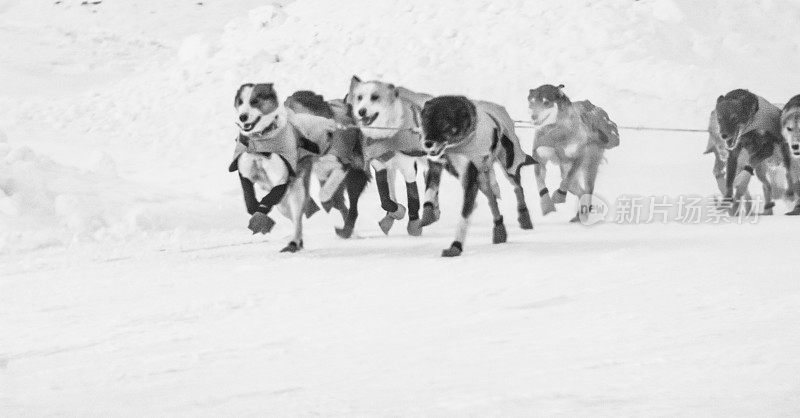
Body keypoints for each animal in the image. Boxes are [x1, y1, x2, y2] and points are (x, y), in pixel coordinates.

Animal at [228, 81, 338, 251]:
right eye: (240, 101)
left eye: (254, 101)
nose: (243, 117)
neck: (261, 143)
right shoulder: (245, 173)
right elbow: (249, 200)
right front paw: (257, 211)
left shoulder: (282, 179)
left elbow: (269, 198)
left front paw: (260, 216)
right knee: (292, 215)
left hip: (298, 189)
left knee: (297, 217)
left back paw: (294, 242)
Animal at [346, 75, 444, 235]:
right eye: (359, 97)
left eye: (375, 97)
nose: (361, 111)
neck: (387, 136)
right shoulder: (380, 167)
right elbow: (386, 199)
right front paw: (396, 212)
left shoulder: (409, 169)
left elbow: (413, 197)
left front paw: (414, 223)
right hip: (392, 170)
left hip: (426, 160)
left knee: (432, 180)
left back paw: (432, 210)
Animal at [418, 96, 536, 256]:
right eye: (425, 122)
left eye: (443, 124)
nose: (428, 143)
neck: (455, 146)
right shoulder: (436, 165)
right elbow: (430, 191)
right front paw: (428, 213)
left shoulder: (469, 179)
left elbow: (464, 217)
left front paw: (456, 246)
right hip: (482, 180)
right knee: (492, 200)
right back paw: (499, 230)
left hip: (508, 166)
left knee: (518, 188)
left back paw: (524, 216)